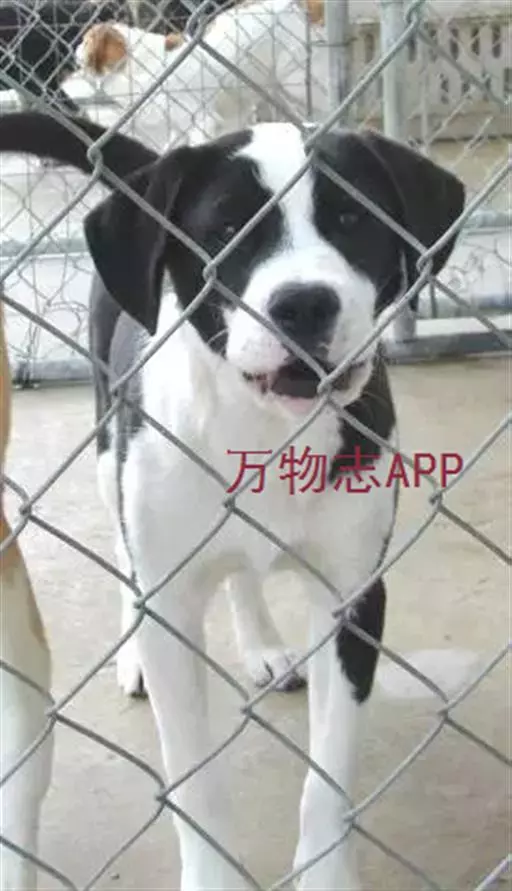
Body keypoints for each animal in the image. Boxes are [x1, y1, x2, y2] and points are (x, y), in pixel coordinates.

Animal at [0, 110, 465, 889]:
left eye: (352, 219)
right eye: (222, 231)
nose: (303, 303)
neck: (268, 427)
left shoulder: (353, 599)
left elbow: (328, 778)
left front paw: (327, 873)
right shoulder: (172, 602)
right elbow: (194, 785)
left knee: (244, 574)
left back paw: (265, 646)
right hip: (107, 451)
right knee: (125, 550)